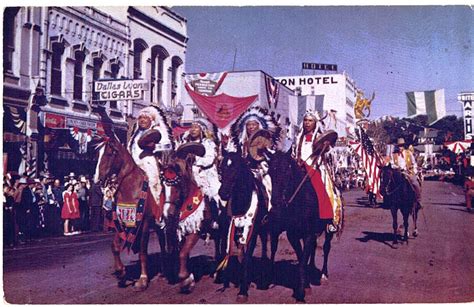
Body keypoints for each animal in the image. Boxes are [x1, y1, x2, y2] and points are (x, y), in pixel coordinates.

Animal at [93, 132, 167, 292]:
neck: (130, 187)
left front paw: (143, 279)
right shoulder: (121, 221)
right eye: (98, 154)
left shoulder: (144, 222)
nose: (97, 180)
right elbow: (115, 246)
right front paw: (120, 272)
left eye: (110, 153)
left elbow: (143, 251)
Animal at [217, 152, 268, 304]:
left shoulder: (252, 233)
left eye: (236, 168)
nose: (223, 193)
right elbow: (239, 255)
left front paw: (243, 292)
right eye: (221, 169)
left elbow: (246, 259)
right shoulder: (232, 232)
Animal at [266, 150, 336, 304]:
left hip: (328, 230)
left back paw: (324, 274)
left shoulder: (308, 234)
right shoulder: (293, 235)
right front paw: (306, 286)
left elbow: (303, 261)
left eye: (287, 171)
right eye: (270, 172)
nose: (276, 203)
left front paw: (301, 292)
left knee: (326, 248)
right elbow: (301, 257)